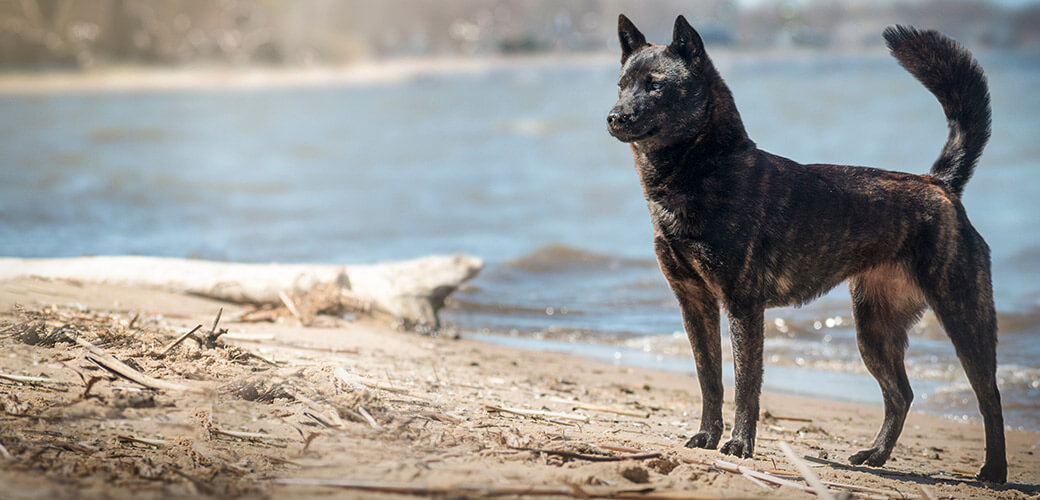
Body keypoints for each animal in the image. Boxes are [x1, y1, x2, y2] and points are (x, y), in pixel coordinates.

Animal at [607, 14, 1006, 482]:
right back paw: (876, 456)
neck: (702, 171)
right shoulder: (694, 303)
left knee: (989, 396)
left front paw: (738, 446)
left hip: (963, 317)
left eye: (655, 85)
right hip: (874, 329)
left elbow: (745, 384)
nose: (614, 117)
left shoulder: (742, 306)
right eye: (622, 84)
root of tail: (940, 184)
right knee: (901, 395)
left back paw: (994, 471)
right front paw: (706, 437)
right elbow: (710, 380)